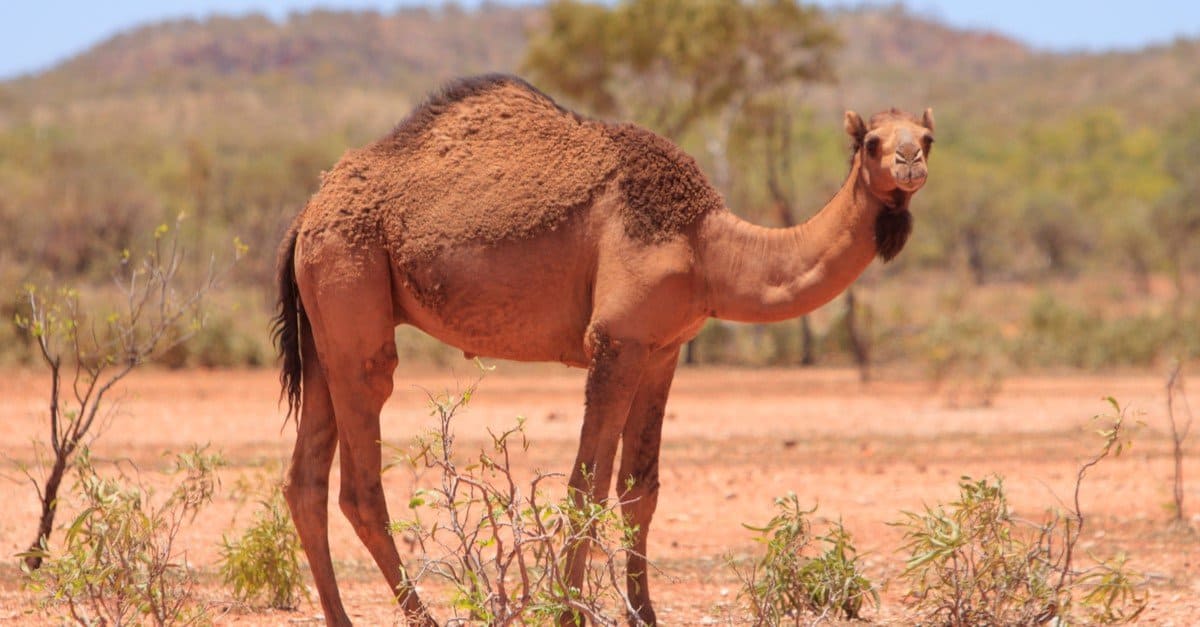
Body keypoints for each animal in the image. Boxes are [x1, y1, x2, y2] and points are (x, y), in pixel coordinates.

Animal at [273, 74, 933, 626]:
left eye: (927, 135)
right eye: (872, 142)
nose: (911, 161)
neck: (706, 246)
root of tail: (307, 211)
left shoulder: (662, 348)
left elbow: (640, 488)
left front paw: (644, 615)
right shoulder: (616, 340)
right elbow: (584, 486)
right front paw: (568, 613)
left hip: (324, 326)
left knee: (305, 481)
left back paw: (340, 618)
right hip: (350, 282)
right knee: (361, 478)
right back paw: (422, 618)